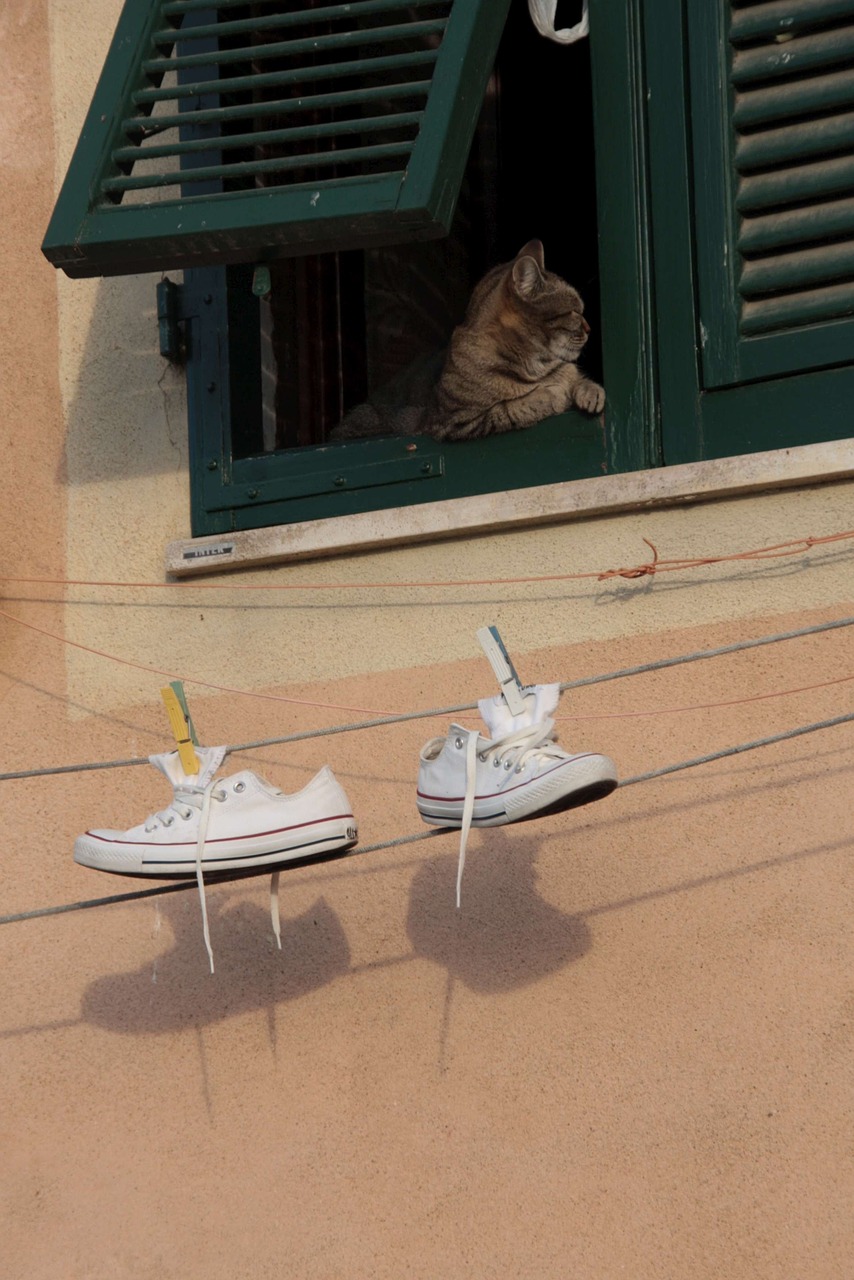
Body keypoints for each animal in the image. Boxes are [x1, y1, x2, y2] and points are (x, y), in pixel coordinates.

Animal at [330, 238, 604, 442]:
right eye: (574, 311)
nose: (590, 327)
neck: (537, 365)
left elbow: (579, 380)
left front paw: (590, 392)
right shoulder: (456, 422)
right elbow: (513, 407)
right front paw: (552, 394)